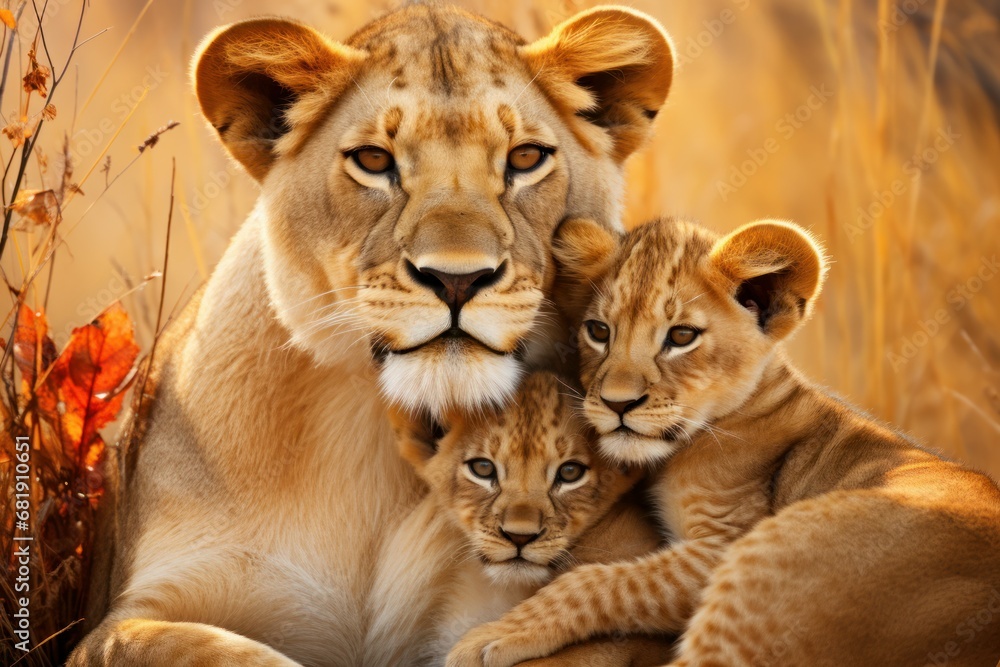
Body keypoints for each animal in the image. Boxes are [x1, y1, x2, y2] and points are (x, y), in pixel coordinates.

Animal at [68, 4, 674, 665]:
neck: (377, 455)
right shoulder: (130, 615)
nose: (457, 278)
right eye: (375, 162)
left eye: (525, 158)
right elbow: (215, 650)